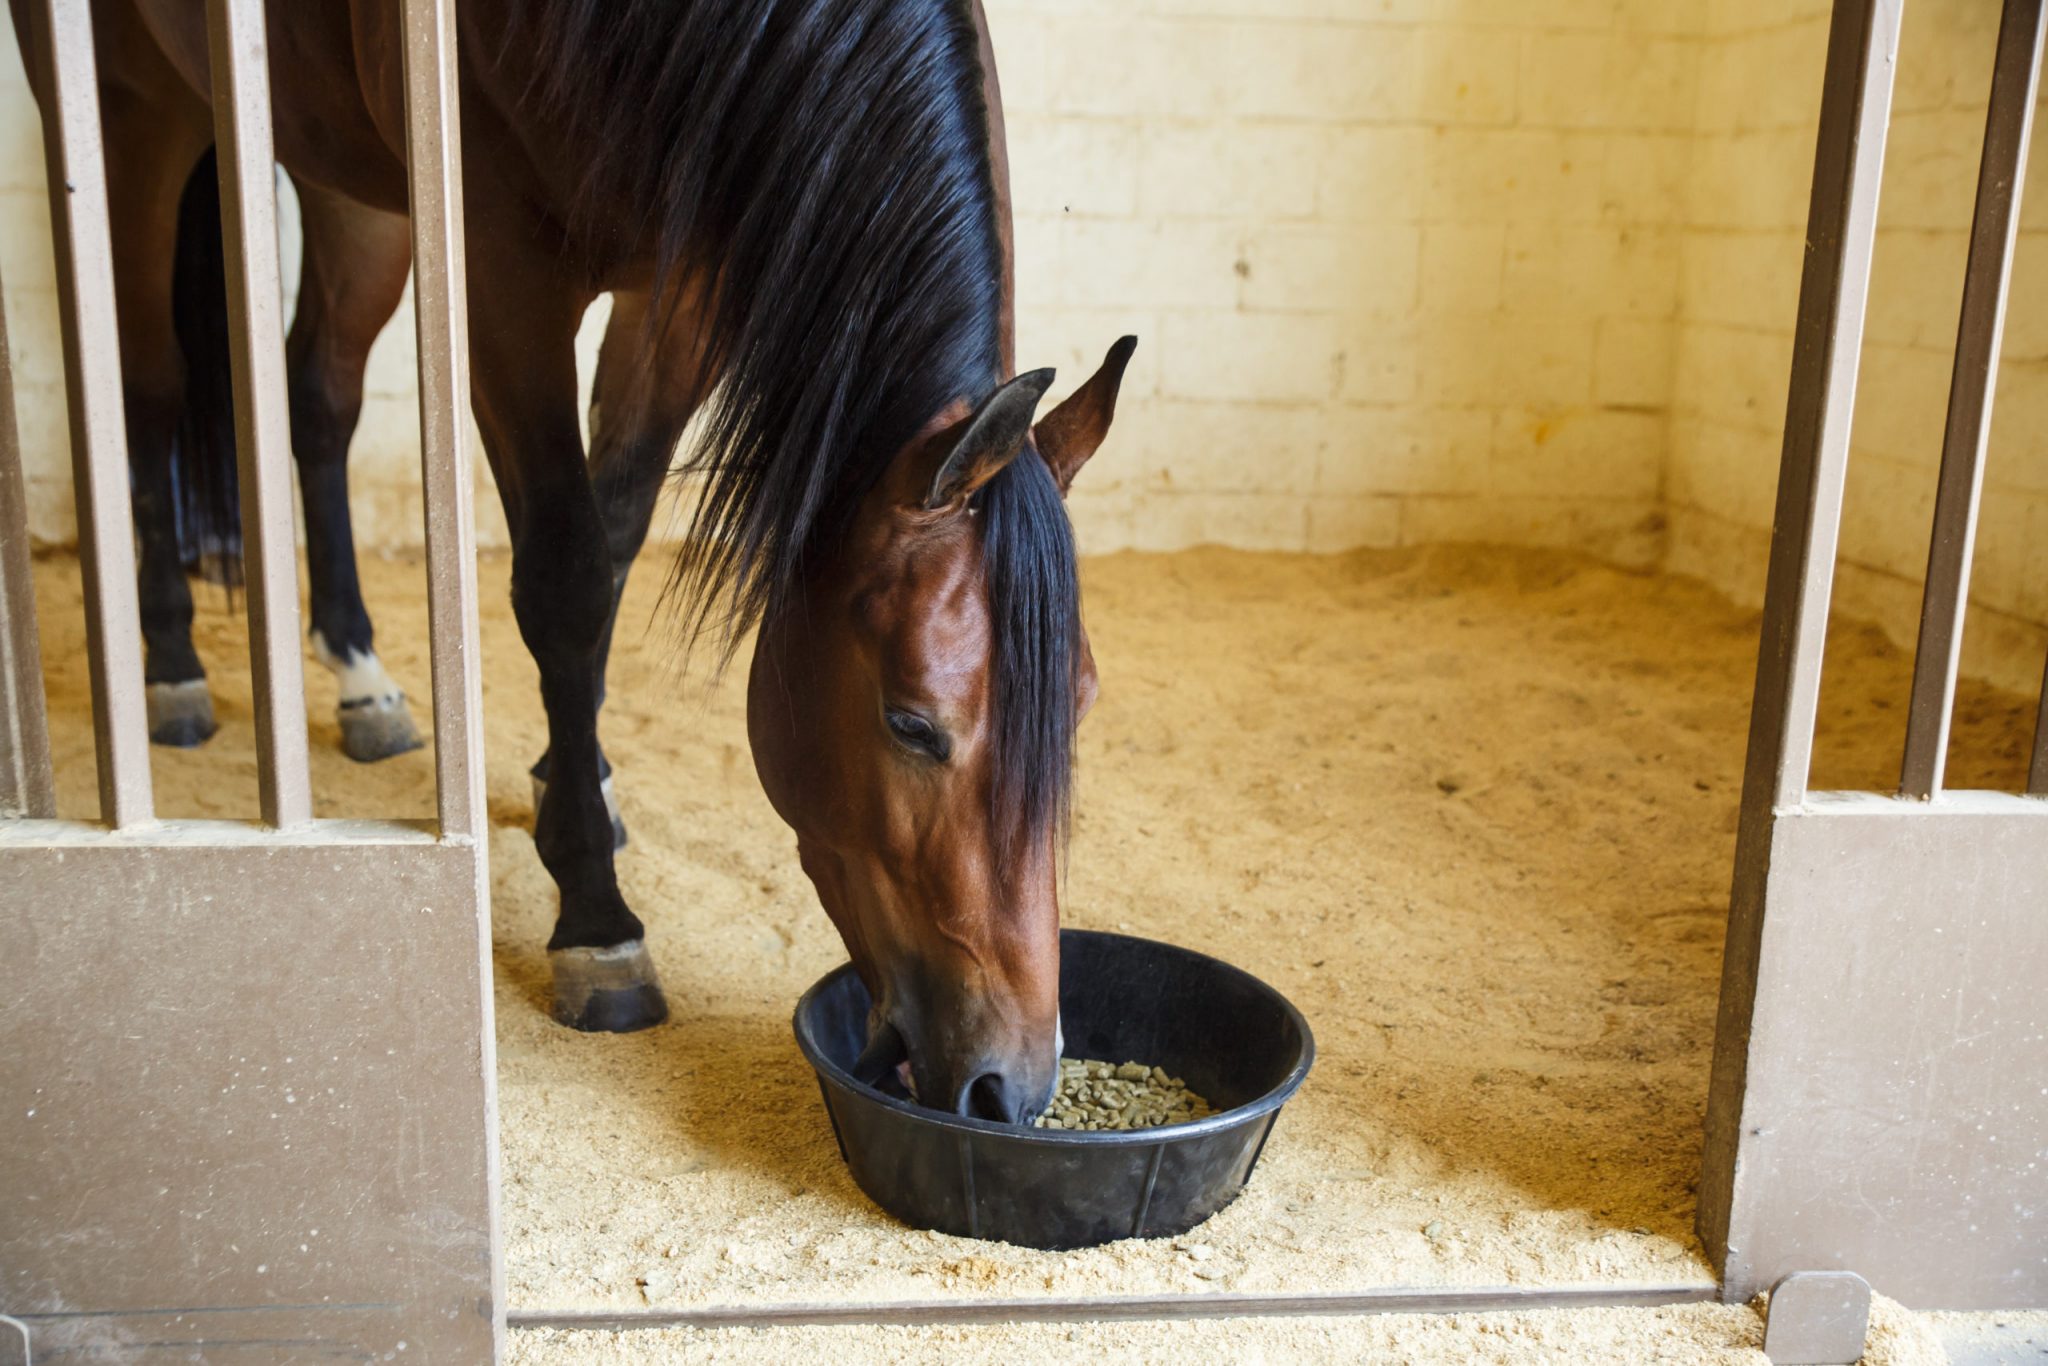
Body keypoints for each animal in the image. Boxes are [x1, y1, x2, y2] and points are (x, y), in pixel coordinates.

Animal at [9, 0, 1136, 1123]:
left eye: (1081, 703)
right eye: (910, 724)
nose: (1009, 1083)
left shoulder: (680, 295)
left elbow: (617, 531)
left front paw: (574, 774)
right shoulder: (505, 281)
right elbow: (566, 579)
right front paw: (597, 920)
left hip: (348, 178)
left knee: (319, 393)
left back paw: (360, 675)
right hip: (131, 118)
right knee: (145, 387)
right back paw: (169, 665)